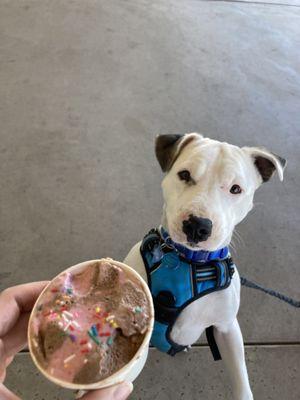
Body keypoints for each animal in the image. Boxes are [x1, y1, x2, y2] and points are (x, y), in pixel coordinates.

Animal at [124, 134, 286, 400]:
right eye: (184, 175)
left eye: (235, 189)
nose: (197, 225)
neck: (188, 261)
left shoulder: (227, 329)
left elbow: (242, 383)